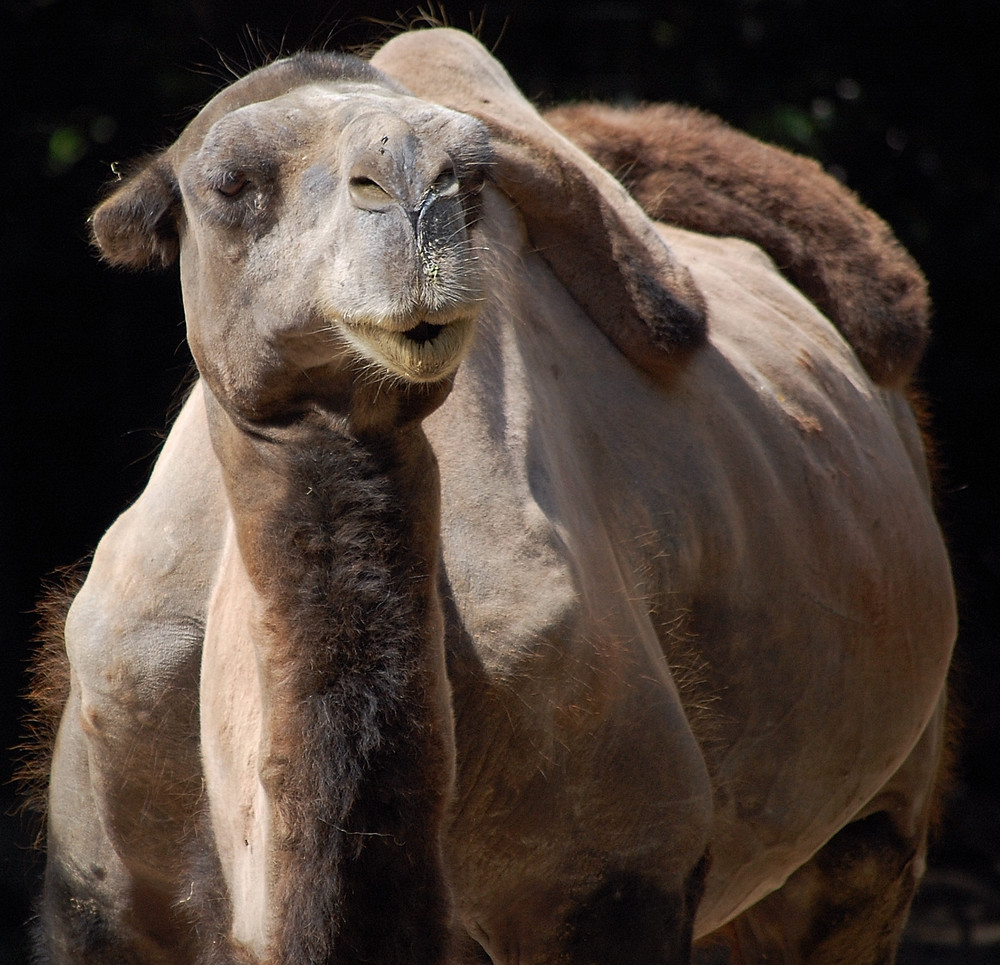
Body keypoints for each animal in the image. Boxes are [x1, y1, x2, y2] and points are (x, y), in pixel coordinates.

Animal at [29, 28, 952, 964]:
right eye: (228, 182)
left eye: (472, 177)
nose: (413, 180)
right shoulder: (93, 891)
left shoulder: (612, 881)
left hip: (879, 821)